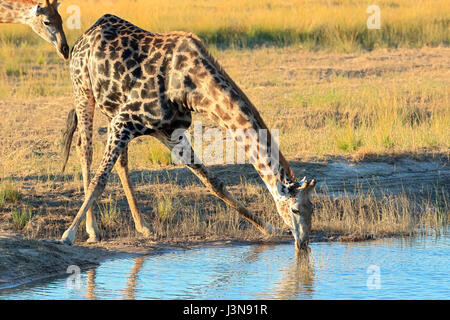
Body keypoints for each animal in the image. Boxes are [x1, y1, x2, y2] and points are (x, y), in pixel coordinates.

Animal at [60, 14, 316, 250]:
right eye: (295, 209)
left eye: (312, 208)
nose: (304, 243)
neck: (190, 88)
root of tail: (86, 33)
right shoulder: (126, 119)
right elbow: (99, 180)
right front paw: (68, 235)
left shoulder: (169, 131)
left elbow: (213, 182)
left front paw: (270, 228)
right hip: (83, 90)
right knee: (85, 149)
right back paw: (93, 230)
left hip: (112, 109)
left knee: (121, 161)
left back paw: (143, 227)